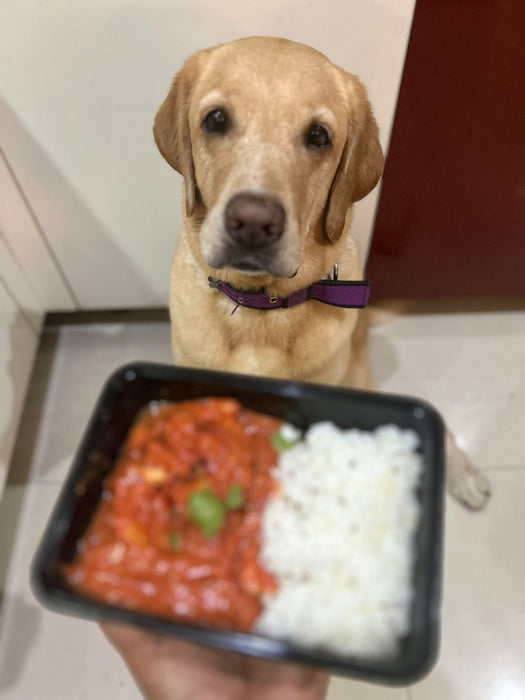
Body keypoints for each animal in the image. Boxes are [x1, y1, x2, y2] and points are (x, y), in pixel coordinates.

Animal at [154, 37, 490, 508]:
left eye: (318, 136)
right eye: (215, 119)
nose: (253, 223)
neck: (261, 305)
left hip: (359, 378)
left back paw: (463, 472)